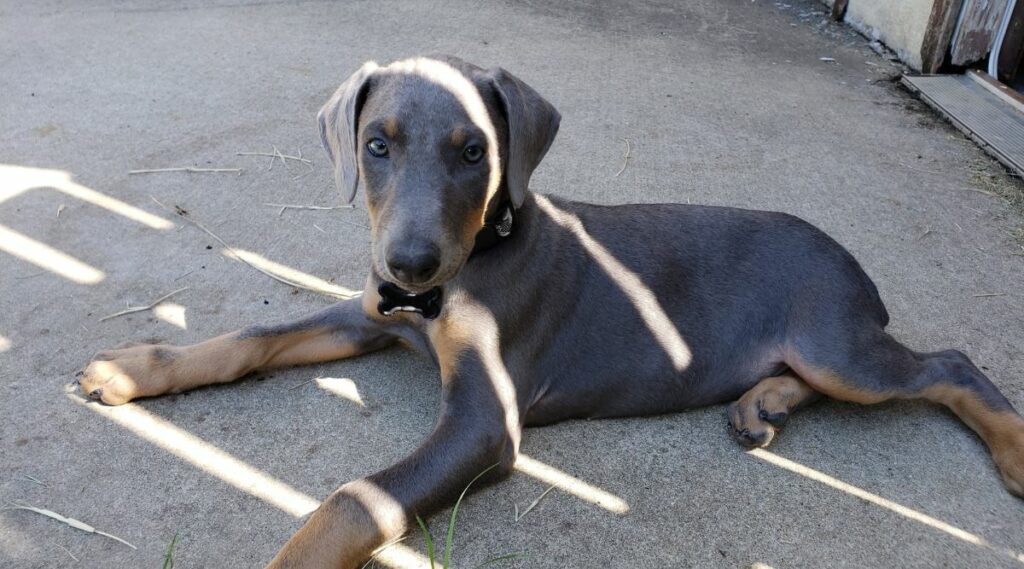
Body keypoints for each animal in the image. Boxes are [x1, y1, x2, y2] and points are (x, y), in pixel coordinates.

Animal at [79, 55, 1024, 564]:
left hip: (839, 341)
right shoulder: (371, 315)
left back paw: (1012, 450)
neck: (467, 266)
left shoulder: (482, 422)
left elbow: (356, 497)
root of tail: (851, 264)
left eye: (474, 152)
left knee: (948, 365)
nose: (409, 265)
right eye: (376, 144)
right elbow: (253, 337)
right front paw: (135, 367)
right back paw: (762, 403)